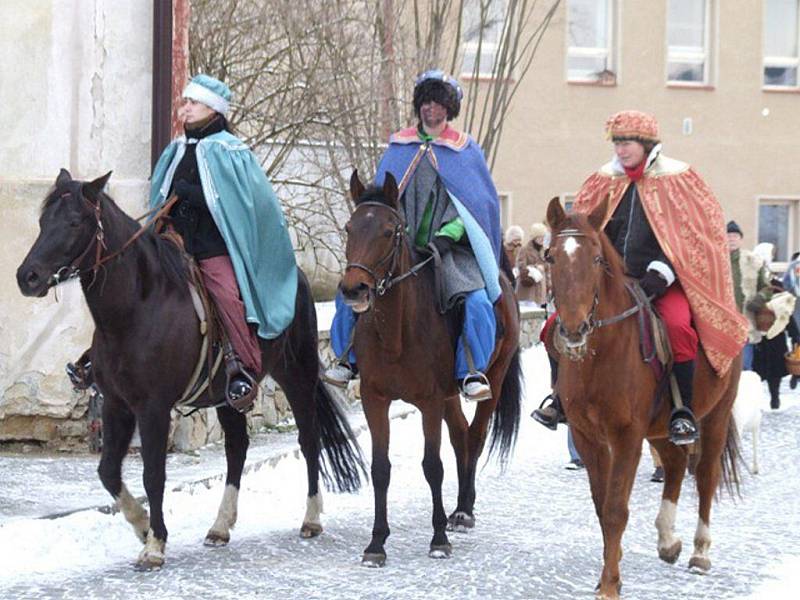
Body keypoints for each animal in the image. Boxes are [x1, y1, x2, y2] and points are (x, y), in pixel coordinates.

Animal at [16, 170, 366, 572]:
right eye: (43, 221)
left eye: (74, 222)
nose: (27, 277)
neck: (136, 307)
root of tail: (300, 280)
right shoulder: (117, 404)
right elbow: (108, 471)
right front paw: (141, 527)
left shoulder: (153, 408)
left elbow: (154, 474)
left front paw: (155, 544)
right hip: (228, 396)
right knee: (237, 448)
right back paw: (220, 526)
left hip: (297, 374)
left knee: (308, 440)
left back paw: (311, 519)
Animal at [340, 170, 520, 568]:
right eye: (349, 228)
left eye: (389, 231)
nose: (353, 289)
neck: (397, 332)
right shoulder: (375, 399)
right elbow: (380, 468)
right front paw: (376, 543)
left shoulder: (429, 402)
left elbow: (432, 466)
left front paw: (438, 539)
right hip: (450, 396)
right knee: (461, 437)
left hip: (493, 380)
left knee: (475, 436)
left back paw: (463, 511)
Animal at [544, 198, 744, 600]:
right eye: (552, 257)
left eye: (596, 258)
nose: (573, 330)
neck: (599, 355)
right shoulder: (588, 436)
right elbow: (601, 505)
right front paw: (609, 574)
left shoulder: (626, 437)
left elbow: (616, 508)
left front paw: (609, 585)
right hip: (661, 428)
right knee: (675, 465)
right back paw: (667, 541)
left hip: (714, 416)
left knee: (705, 475)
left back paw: (700, 552)